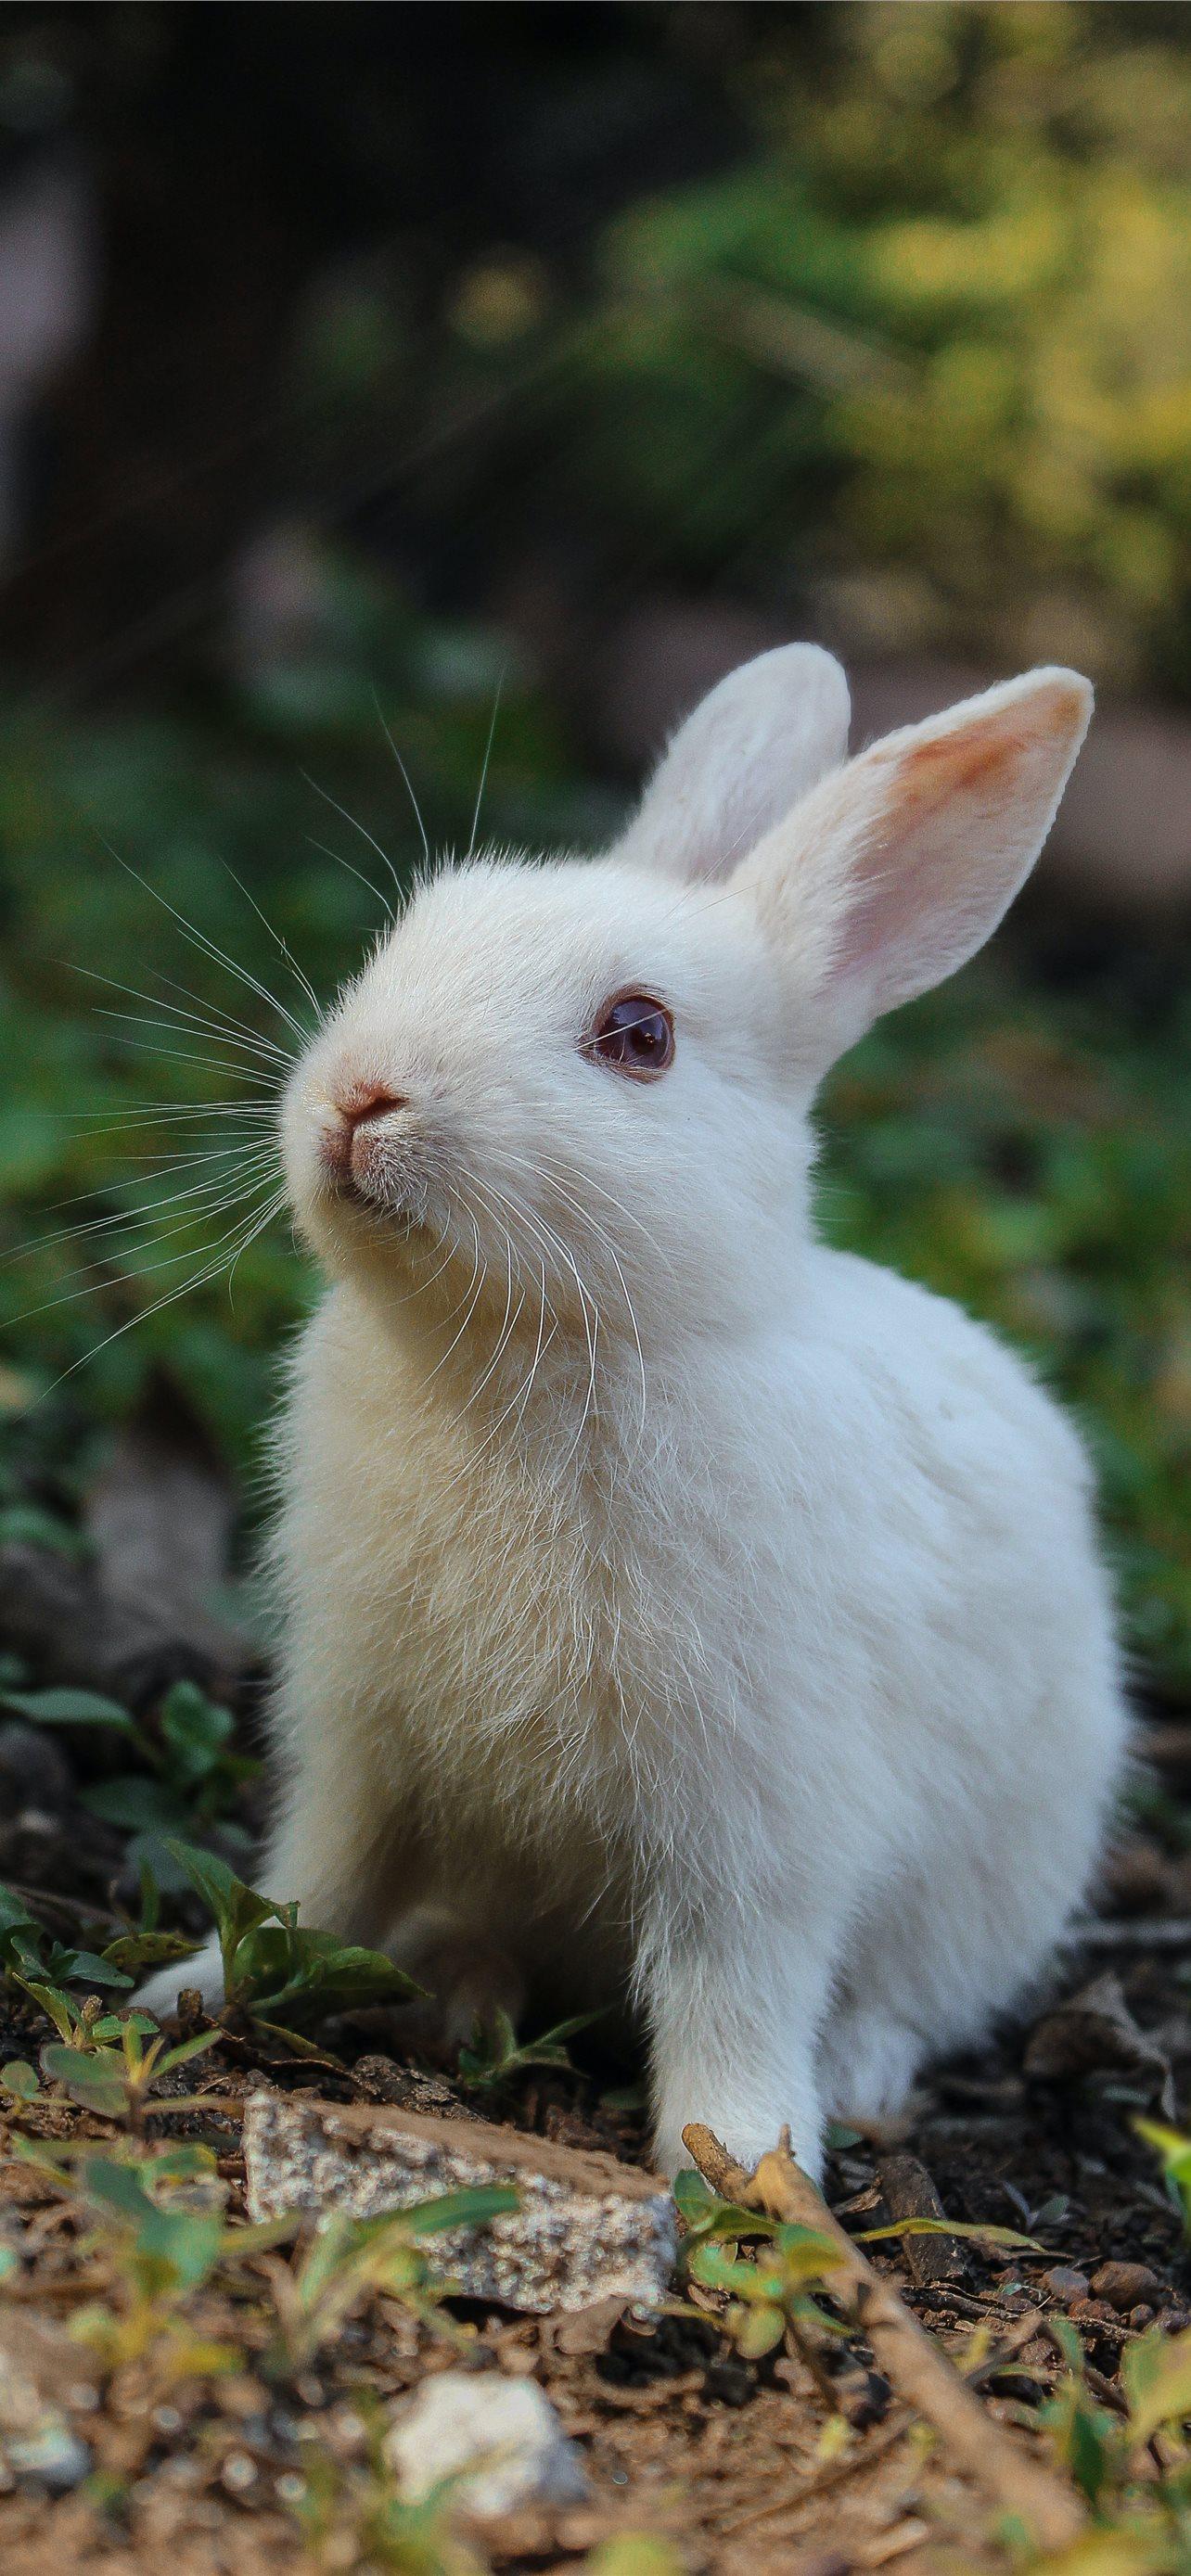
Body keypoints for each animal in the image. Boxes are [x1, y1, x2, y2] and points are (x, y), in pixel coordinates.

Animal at [140, 644, 1126, 2181]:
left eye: (640, 1035)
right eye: (412, 933)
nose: (361, 1097)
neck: (534, 1351)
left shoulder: (761, 1816)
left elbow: (736, 1982)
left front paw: (744, 2160)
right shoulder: (360, 1736)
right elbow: (315, 1877)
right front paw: (192, 1987)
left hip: (998, 1875)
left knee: (909, 1994)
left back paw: (854, 2076)